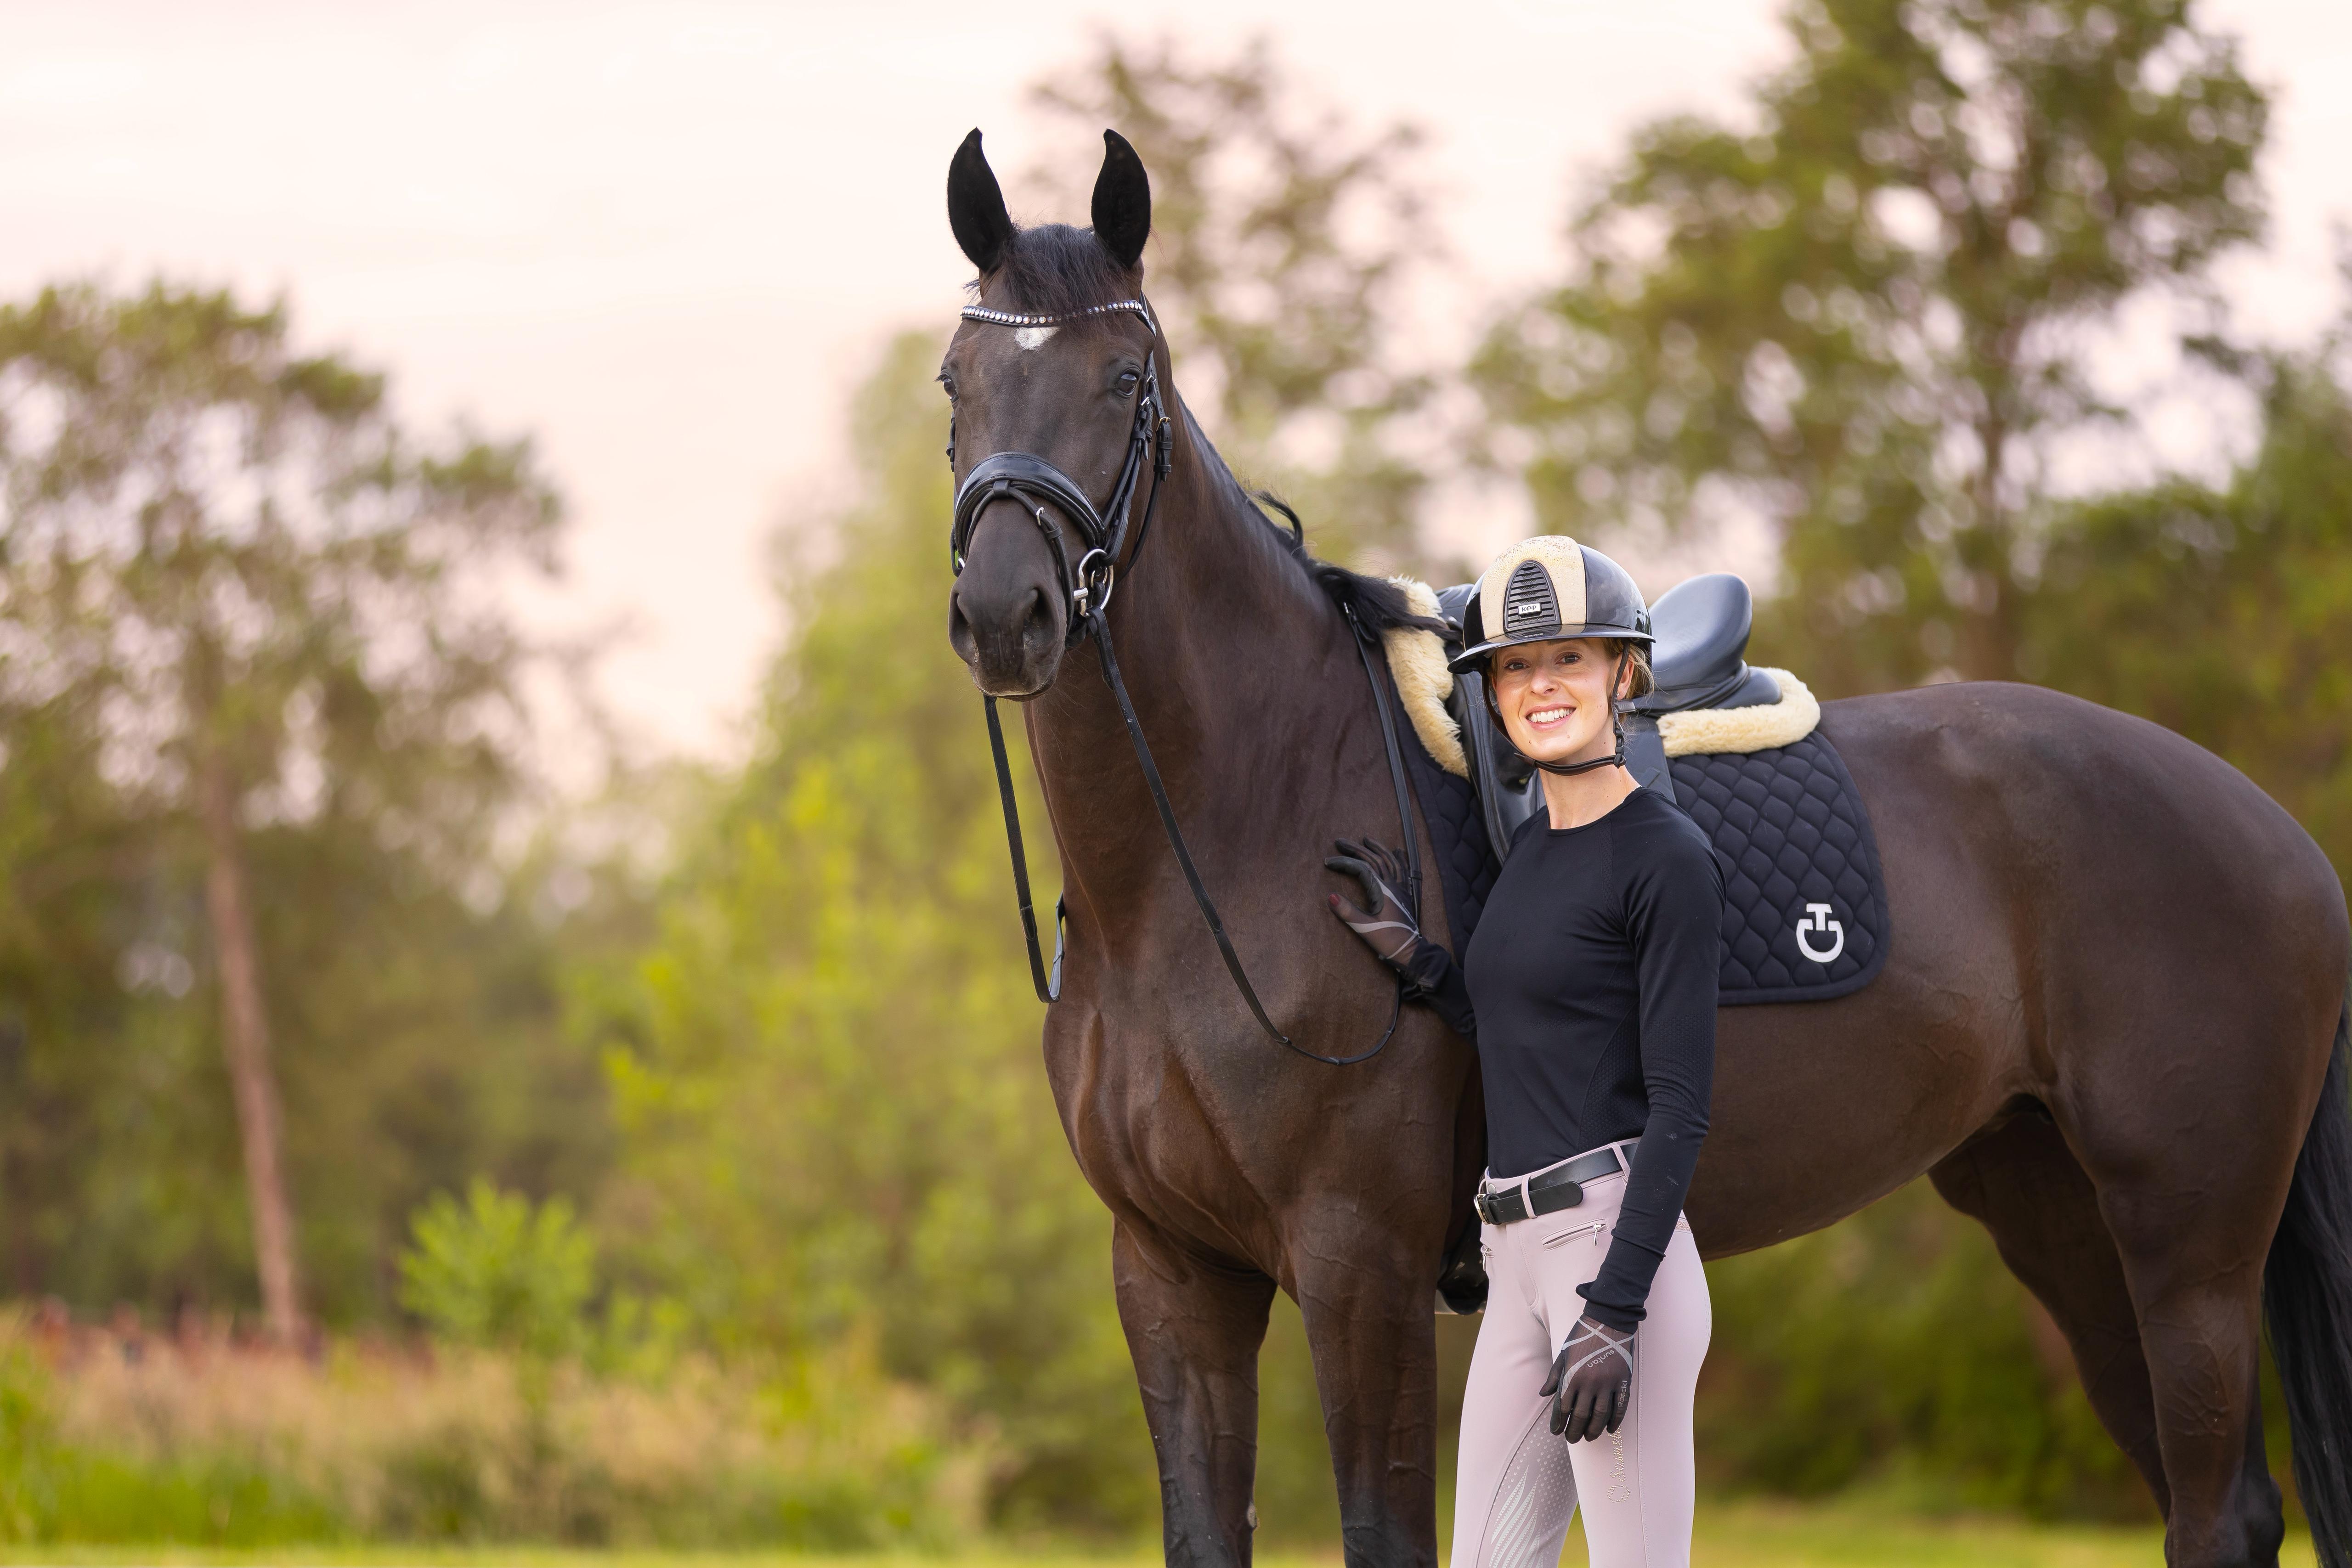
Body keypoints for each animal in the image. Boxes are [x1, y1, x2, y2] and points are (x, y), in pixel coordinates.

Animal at [938, 127, 2352, 1568]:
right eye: (959, 378)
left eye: (1126, 377)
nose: (1005, 611)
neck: (1221, 845)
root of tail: (2274, 830)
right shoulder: (1173, 1272)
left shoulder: (1357, 1263)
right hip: (2054, 1208)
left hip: (2189, 1241)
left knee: (2222, 1503)